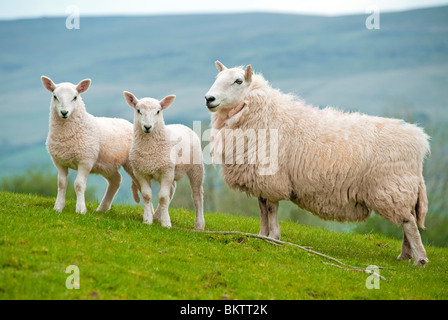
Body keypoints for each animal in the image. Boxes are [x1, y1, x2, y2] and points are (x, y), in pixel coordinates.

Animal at [40, 76, 138, 214]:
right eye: (55, 96)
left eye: (75, 97)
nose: (64, 112)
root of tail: (129, 124)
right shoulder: (59, 161)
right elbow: (61, 183)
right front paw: (58, 207)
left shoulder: (86, 160)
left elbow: (79, 185)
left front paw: (81, 209)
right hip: (106, 164)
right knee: (116, 180)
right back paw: (102, 208)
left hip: (131, 164)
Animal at [123, 91, 206, 229]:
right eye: (138, 110)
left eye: (158, 111)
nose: (147, 127)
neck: (149, 150)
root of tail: (182, 125)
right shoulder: (140, 172)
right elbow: (147, 195)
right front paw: (148, 220)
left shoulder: (166, 171)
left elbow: (162, 197)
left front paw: (166, 223)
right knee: (172, 189)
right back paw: (158, 215)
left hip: (196, 167)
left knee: (197, 195)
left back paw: (199, 224)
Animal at [204, 61, 430, 266]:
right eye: (217, 78)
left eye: (238, 81)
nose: (209, 99)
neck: (264, 113)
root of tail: (419, 141)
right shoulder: (259, 178)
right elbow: (262, 208)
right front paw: (262, 235)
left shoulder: (273, 178)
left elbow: (272, 209)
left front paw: (274, 238)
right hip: (399, 189)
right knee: (408, 219)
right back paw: (405, 256)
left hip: (391, 187)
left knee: (409, 223)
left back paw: (419, 260)